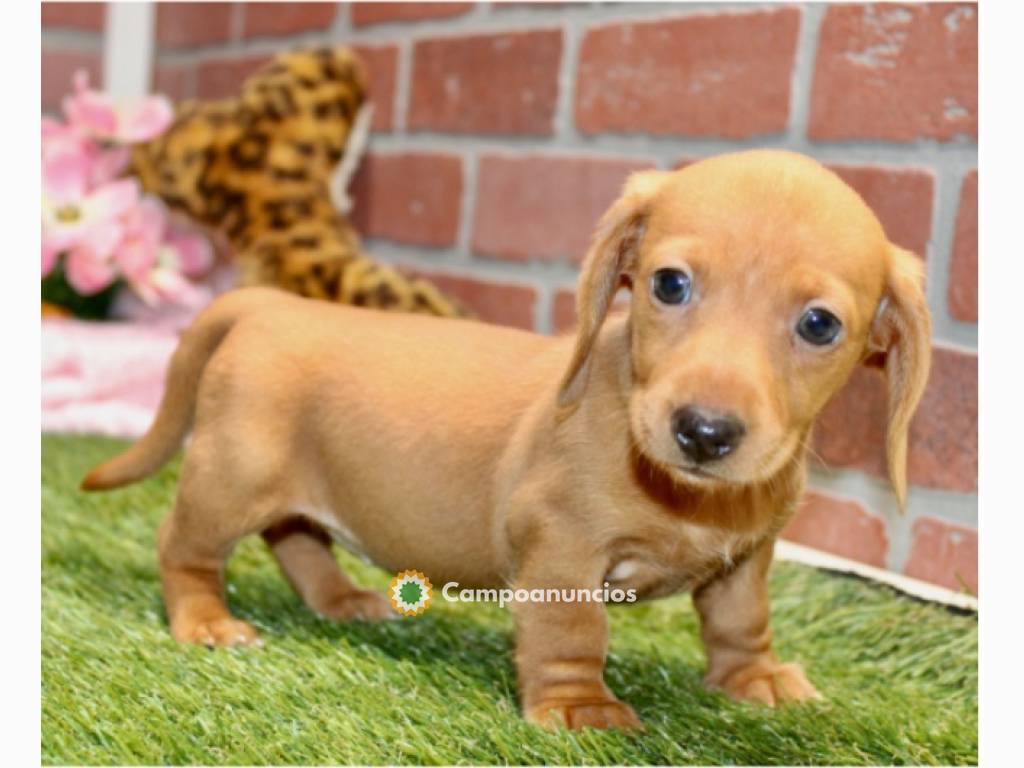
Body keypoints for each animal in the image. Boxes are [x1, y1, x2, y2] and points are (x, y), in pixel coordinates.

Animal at [83, 151, 933, 733]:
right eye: (669, 284)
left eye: (819, 325)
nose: (705, 432)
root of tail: (268, 303)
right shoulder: (560, 547)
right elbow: (572, 631)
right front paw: (580, 707)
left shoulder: (746, 559)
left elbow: (741, 621)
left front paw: (754, 680)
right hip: (229, 475)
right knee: (185, 544)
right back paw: (206, 620)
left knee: (295, 537)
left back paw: (341, 601)